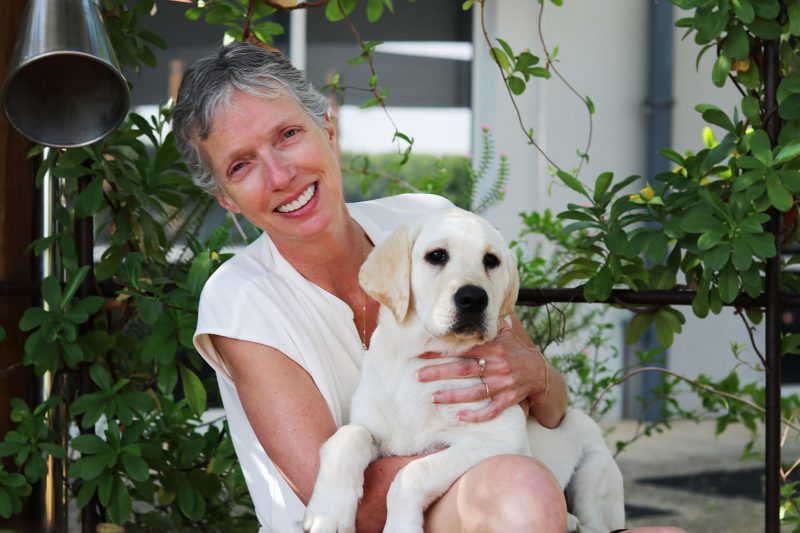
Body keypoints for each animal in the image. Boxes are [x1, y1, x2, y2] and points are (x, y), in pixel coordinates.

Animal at [304, 207, 620, 532]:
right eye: (437, 255)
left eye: (491, 260)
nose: (474, 298)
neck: (420, 359)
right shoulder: (370, 426)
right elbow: (347, 437)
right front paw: (328, 511)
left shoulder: (500, 436)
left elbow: (412, 474)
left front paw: (401, 525)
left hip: (594, 473)